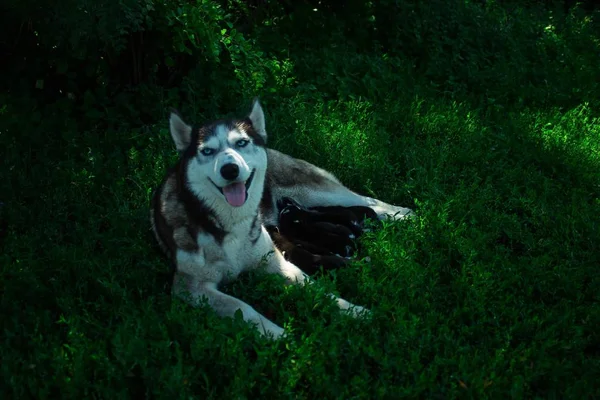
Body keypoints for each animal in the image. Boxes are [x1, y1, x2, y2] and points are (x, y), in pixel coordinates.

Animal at [150, 98, 412, 340]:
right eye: (207, 151)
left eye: (241, 143)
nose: (230, 169)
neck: (231, 222)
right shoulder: (190, 286)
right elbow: (242, 308)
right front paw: (278, 335)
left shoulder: (275, 262)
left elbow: (316, 289)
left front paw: (353, 310)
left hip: (316, 192)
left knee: (366, 200)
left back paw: (405, 214)